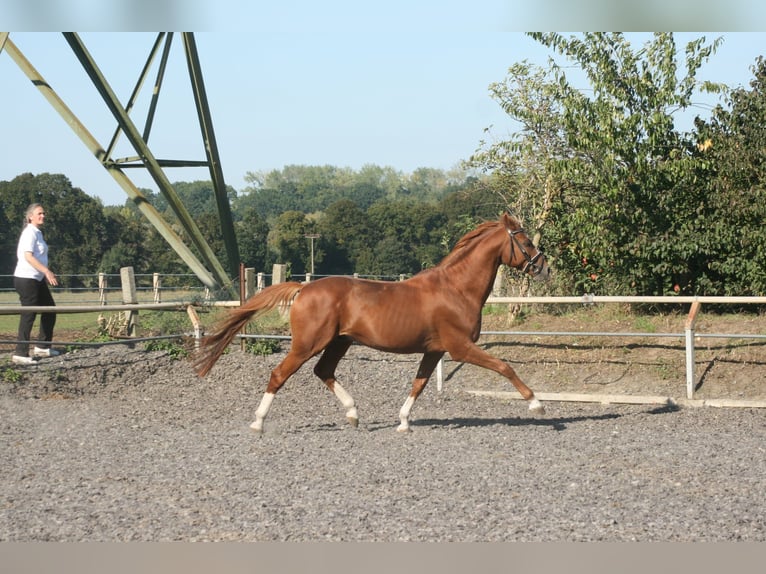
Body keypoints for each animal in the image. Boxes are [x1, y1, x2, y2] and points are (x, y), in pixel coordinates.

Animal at [193, 212, 550, 433]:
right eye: (526, 242)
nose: (544, 268)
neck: (456, 289)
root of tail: (304, 288)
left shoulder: (434, 350)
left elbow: (419, 384)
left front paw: (403, 422)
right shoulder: (460, 348)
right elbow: (504, 366)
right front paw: (537, 405)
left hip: (339, 342)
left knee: (323, 371)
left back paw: (353, 414)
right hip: (309, 343)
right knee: (280, 374)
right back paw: (258, 422)